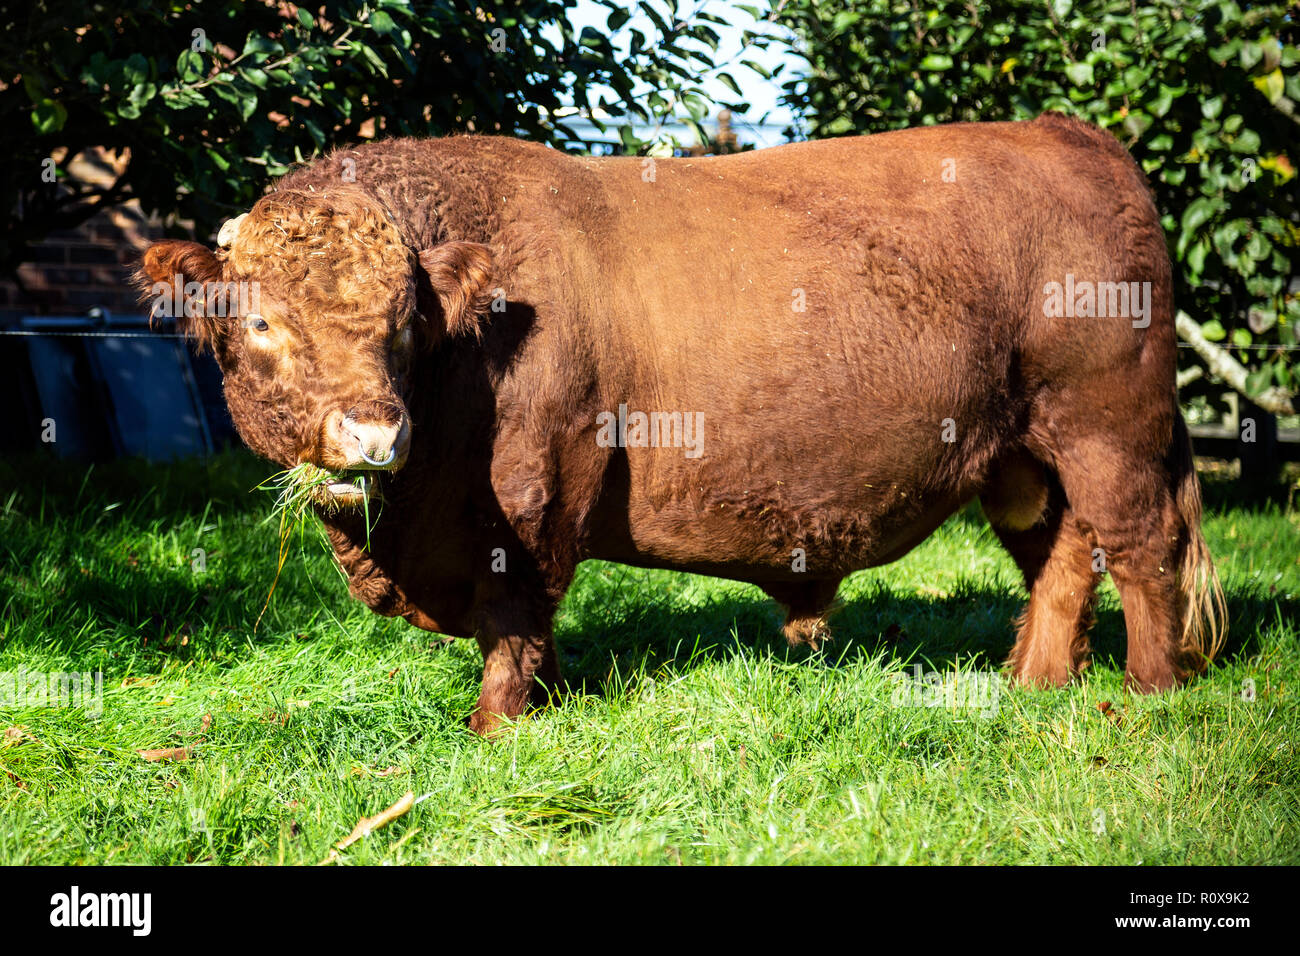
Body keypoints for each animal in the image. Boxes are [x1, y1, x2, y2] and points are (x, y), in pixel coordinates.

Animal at [137, 114, 1225, 735]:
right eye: (263, 323)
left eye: (404, 324)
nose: (371, 435)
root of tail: (1069, 133)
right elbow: (535, 628)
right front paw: (554, 702)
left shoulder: (539, 490)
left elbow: (516, 612)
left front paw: (497, 724)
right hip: (1023, 452)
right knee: (1062, 557)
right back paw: (1034, 683)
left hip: (1107, 424)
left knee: (1140, 547)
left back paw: (1149, 691)